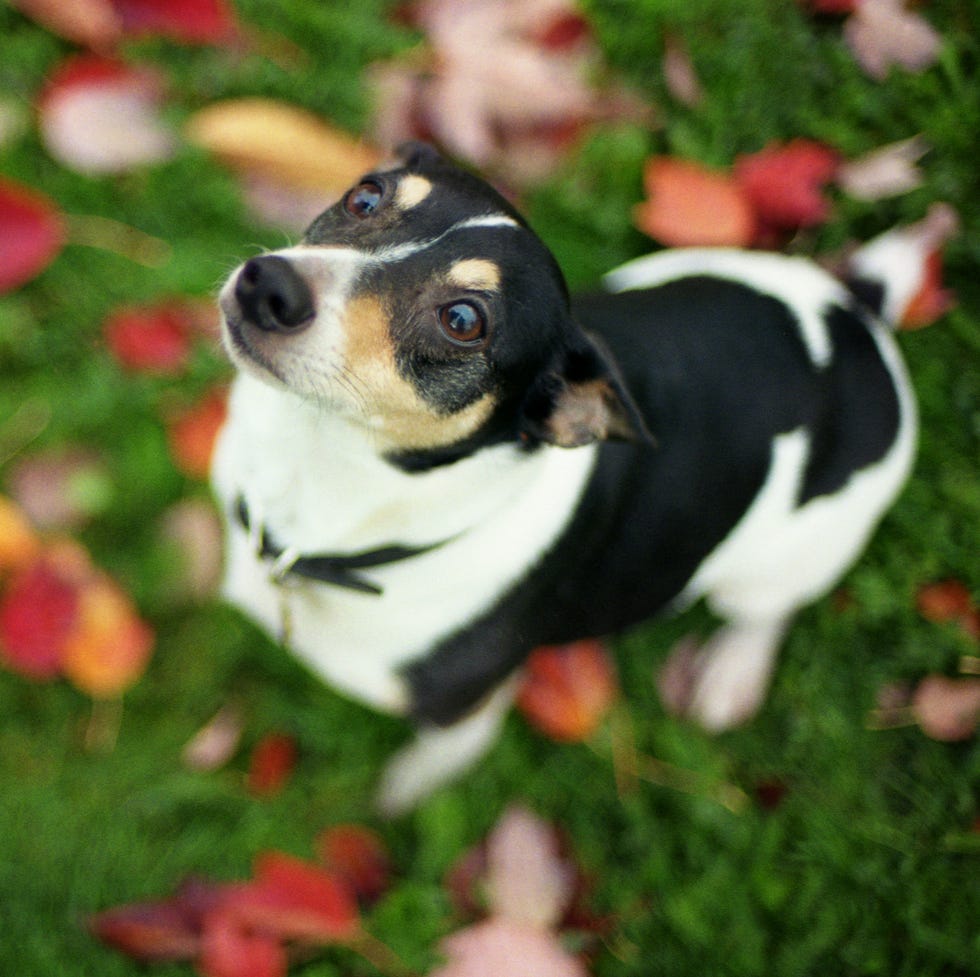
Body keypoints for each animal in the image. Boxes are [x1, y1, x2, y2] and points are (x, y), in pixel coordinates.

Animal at [212, 141, 920, 812]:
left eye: (463, 320)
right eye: (364, 197)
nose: (267, 285)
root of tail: (855, 316)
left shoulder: (463, 709)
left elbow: (445, 754)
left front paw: (410, 788)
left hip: (784, 558)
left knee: (765, 612)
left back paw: (732, 671)